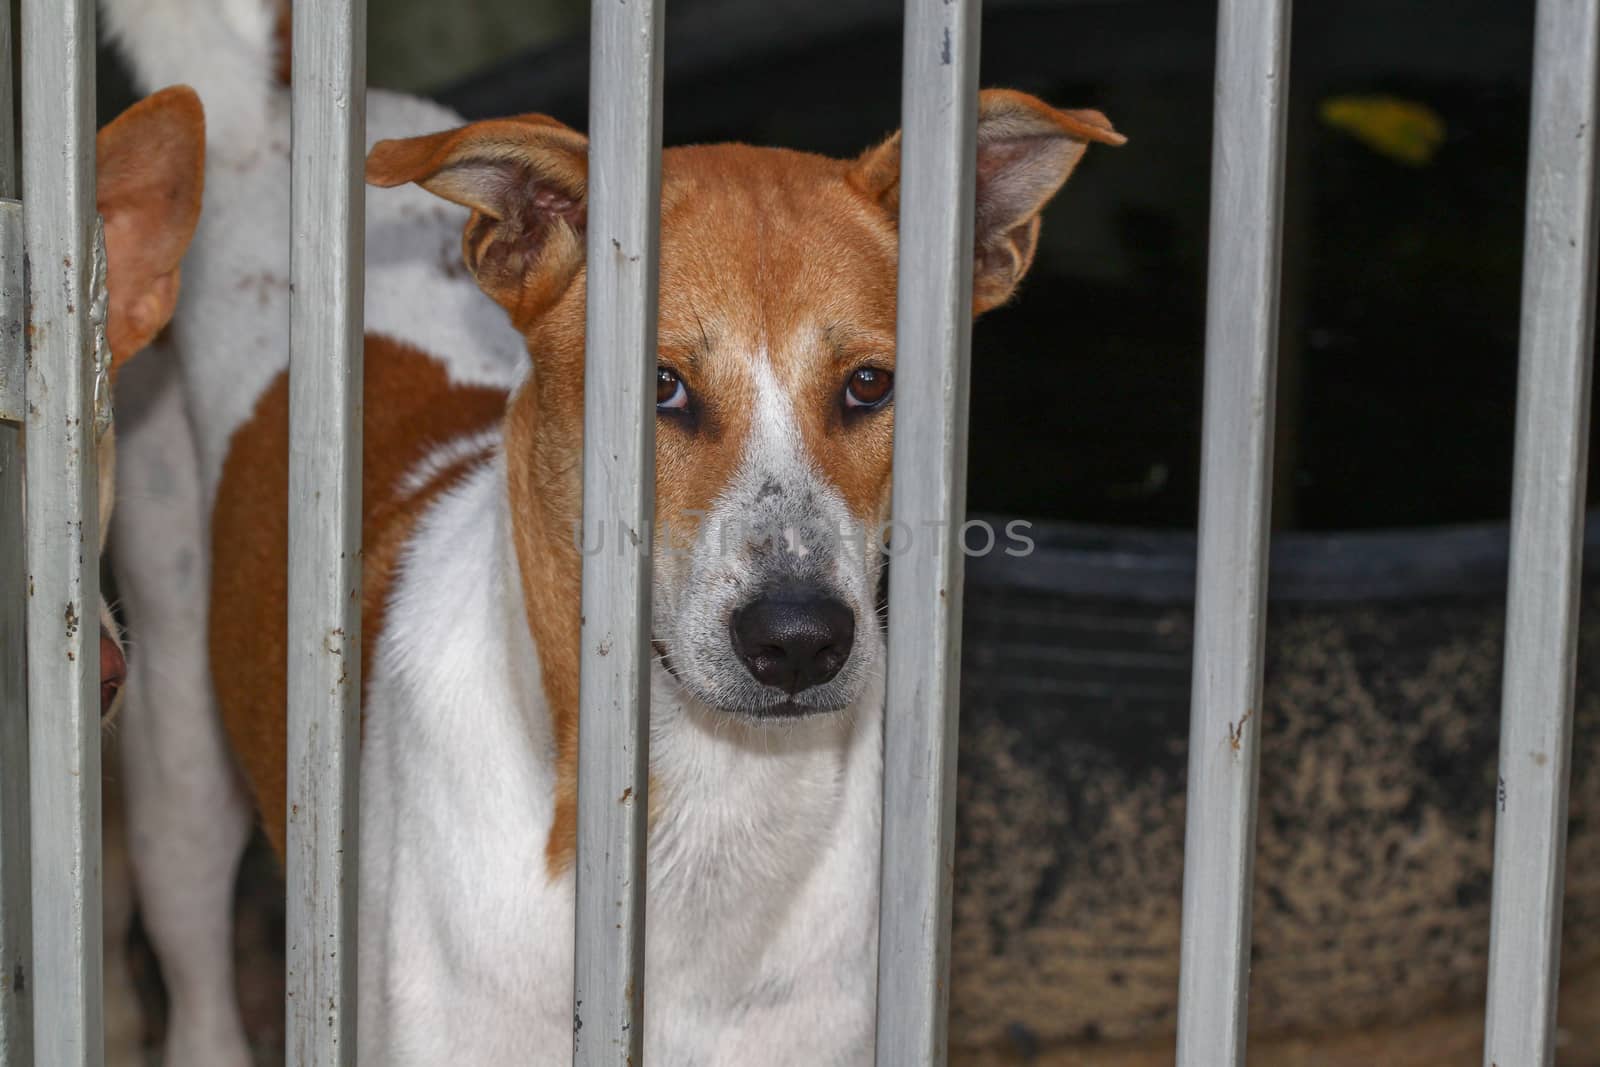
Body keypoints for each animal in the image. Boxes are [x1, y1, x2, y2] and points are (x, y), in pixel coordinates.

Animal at [103, 4, 1126, 1062]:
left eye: (870, 384)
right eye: (660, 384)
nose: (800, 639)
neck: (706, 814)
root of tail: (263, 107)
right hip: (177, 753)